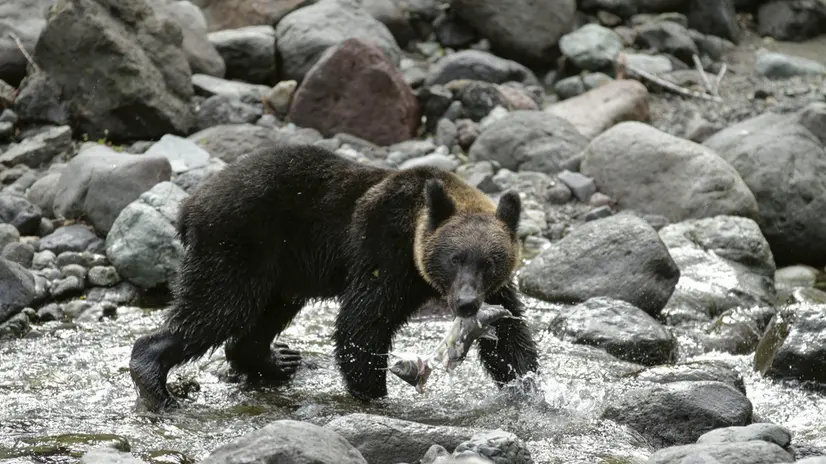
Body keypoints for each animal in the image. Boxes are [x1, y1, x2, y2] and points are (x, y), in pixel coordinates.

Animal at [129, 144, 540, 411]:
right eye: (455, 258)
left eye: (490, 262)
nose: (466, 303)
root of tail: (190, 205)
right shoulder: (384, 252)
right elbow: (362, 323)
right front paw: (375, 394)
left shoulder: (496, 292)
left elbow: (510, 337)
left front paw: (527, 387)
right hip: (238, 245)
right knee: (217, 309)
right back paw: (155, 383)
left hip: (282, 271)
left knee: (263, 315)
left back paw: (278, 359)